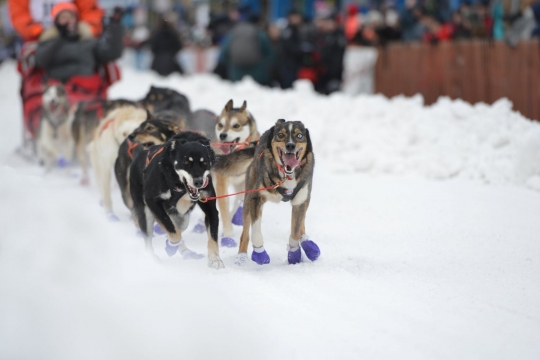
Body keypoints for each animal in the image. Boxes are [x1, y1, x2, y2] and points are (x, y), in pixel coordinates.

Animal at [129, 131, 224, 268]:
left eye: (204, 162)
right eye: (186, 162)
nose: (199, 182)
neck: (180, 187)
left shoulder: (210, 208)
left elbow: (213, 237)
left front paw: (215, 259)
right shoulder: (153, 202)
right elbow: (173, 232)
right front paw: (171, 246)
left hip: (181, 217)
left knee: (179, 226)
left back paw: (186, 252)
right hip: (145, 212)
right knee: (150, 237)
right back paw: (152, 257)